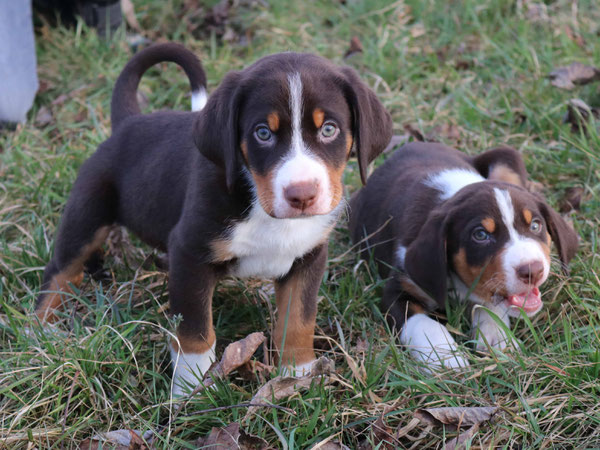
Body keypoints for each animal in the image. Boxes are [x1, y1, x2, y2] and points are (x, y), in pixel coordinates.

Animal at [36, 42, 394, 394]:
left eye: (329, 129)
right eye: (262, 133)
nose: (302, 195)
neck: (265, 211)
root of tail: (128, 122)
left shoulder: (309, 257)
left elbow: (299, 319)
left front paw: (298, 373)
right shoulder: (189, 253)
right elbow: (195, 331)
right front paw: (191, 388)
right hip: (87, 212)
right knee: (61, 269)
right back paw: (40, 329)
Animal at [350, 142, 580, 370]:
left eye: (535, 225)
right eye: (480, 235)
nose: (533, 270)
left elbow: (489, 303)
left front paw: (497, 335)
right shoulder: (398, 288)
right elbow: (422, 322)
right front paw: (444, 356)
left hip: (507, 157)